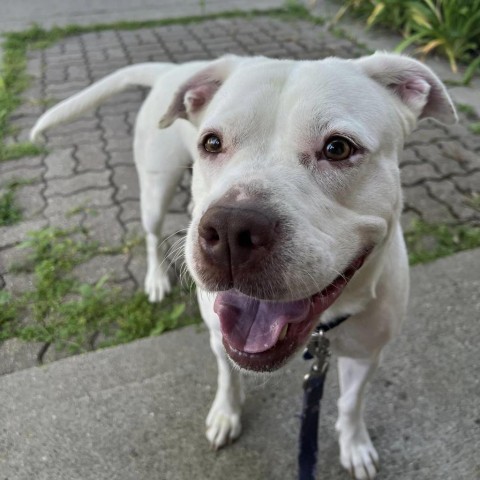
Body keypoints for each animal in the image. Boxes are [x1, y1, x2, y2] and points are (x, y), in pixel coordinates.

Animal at [31, 54, 456, 478]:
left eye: (338, 148)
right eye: (212, 142)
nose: (232, 229)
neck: (321, 331)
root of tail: (174, 68)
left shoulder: (367, 355)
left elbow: (351, 403)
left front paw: (354, 445)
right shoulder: (220, 333)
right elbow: (227, 375)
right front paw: (226, 414)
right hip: (155, 187)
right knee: (151, 234)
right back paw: (155, 279)